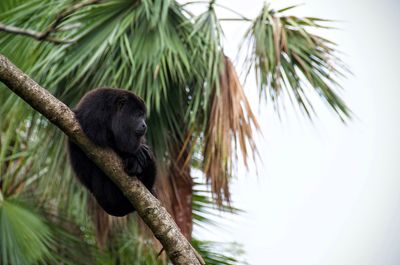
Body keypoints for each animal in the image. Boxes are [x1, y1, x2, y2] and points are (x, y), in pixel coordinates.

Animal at [67, 87, 156, 216]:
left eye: (144, 117)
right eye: (138, 115)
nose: (145, 125)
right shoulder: (95, 107)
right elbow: (96, 135)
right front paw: (136, 152)